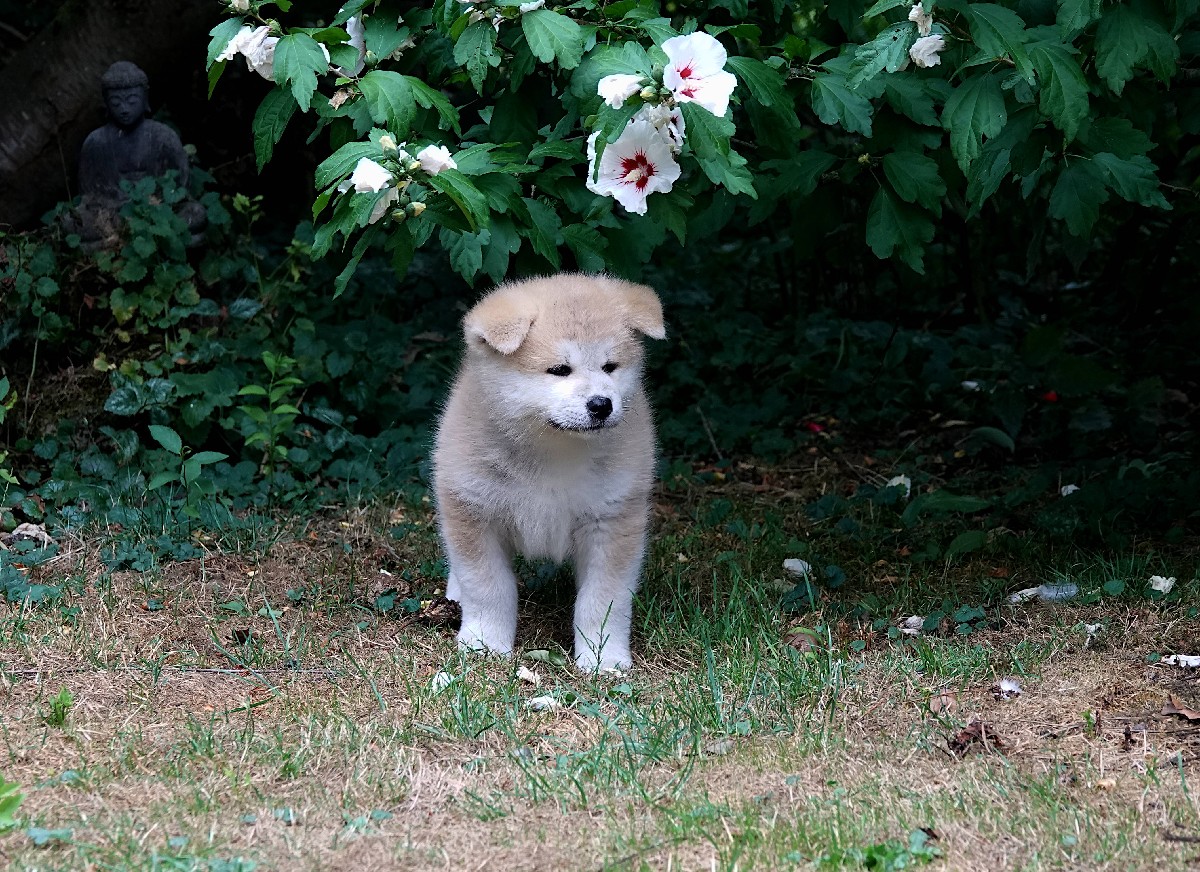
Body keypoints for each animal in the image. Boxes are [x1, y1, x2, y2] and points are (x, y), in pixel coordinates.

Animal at [432, 273, 665, 672]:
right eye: (559, 369)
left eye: (610, 366)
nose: (601, 404)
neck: (553, 451)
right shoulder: (474, 511)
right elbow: (488, 588)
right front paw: (484, 643)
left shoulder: (611, 520)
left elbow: (603, 601)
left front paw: (603, 657)